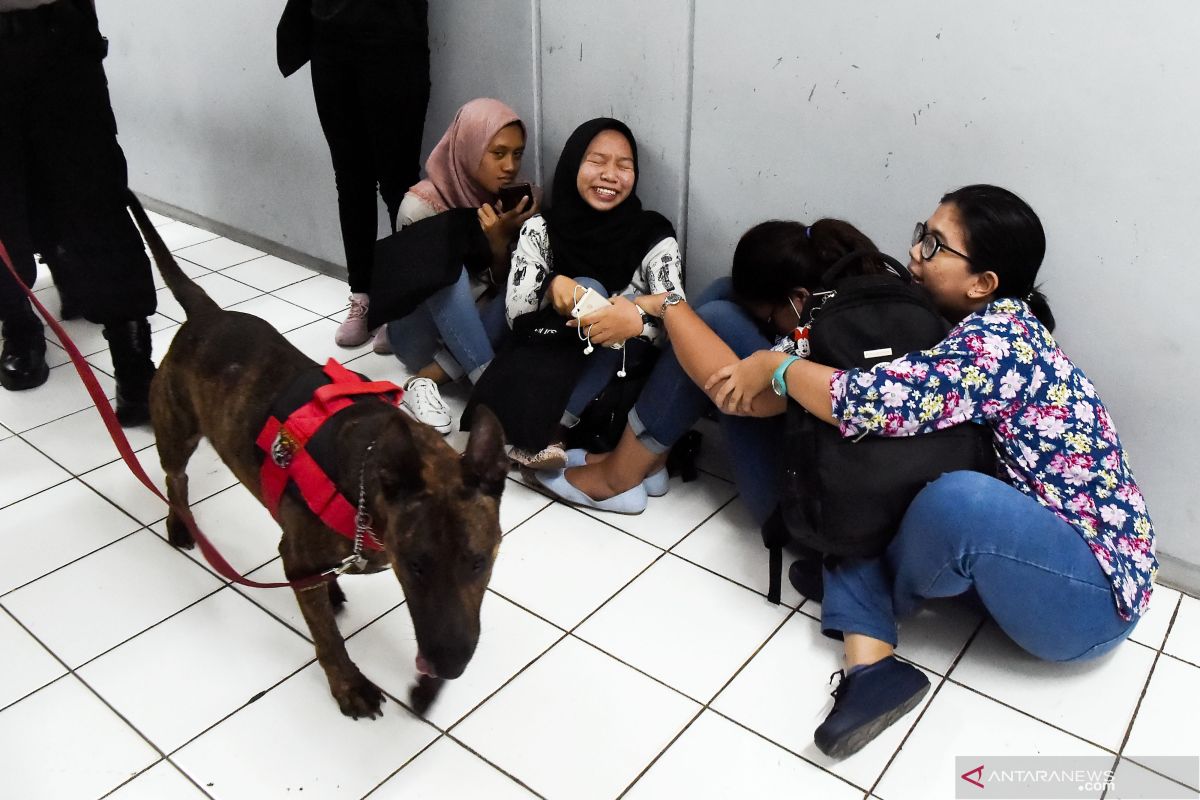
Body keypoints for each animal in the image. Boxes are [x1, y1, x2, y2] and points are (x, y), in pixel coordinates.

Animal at [127, 195, 506, 719]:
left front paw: (426, 690)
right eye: (416, 566)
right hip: (176, 428)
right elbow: (327, 636)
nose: (449, 665)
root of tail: (208, 315)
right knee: (174, 478)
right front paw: (348, 683)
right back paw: (181, 522)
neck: (369, 493)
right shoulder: (296, 559)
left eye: (478, 562)